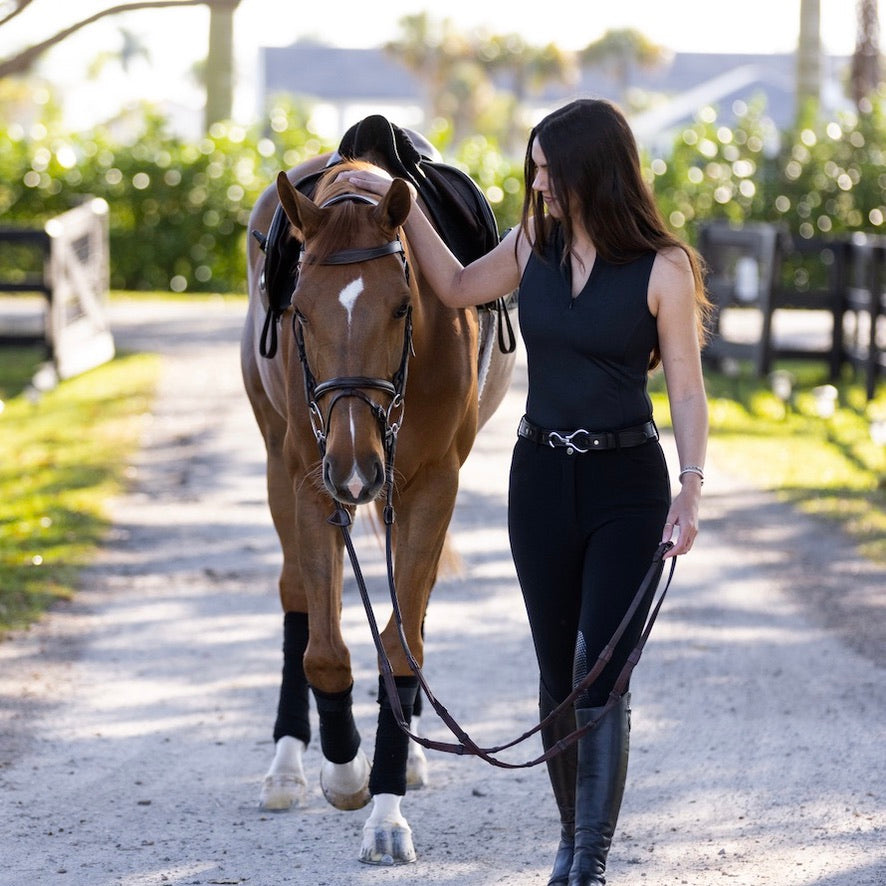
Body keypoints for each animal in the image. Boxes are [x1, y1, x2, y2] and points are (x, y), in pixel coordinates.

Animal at [243, 147, 516, 868]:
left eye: (400, 308)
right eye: (299, 310)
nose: (355, 464)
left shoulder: (433, 484)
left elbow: (401, 643)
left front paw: (386, 814)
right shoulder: (310, 479)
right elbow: (324, 649)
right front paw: (344, 773)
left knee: (406, 618)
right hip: (282, 462)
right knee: (296, 597)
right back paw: (287, 767)